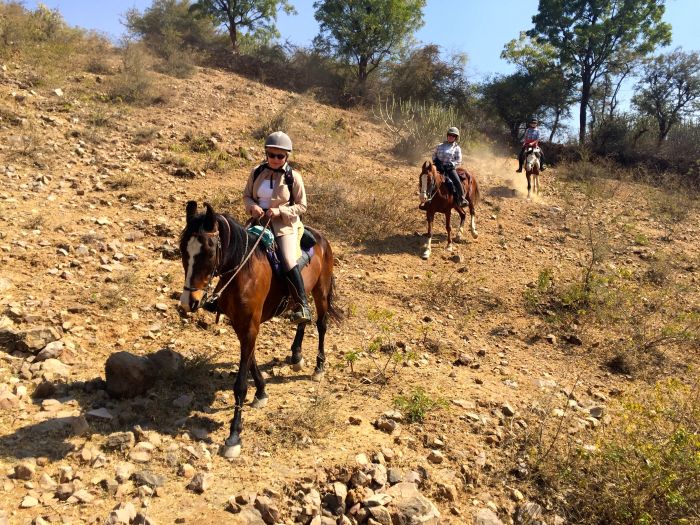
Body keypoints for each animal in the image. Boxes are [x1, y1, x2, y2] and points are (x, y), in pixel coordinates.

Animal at [176, 203, 338, 456]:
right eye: (183, 250)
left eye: (209, 252)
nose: (188, 303)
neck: (243, 271)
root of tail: (320, 237)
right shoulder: (240, 324)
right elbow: (251, 359)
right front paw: (261, 391)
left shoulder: (250, 325)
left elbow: (240, 384)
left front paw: (234, 436)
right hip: (302, 295)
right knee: (302, 317)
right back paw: (296, 355)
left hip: (321, 290)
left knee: (321, 324)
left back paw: (319, 366)